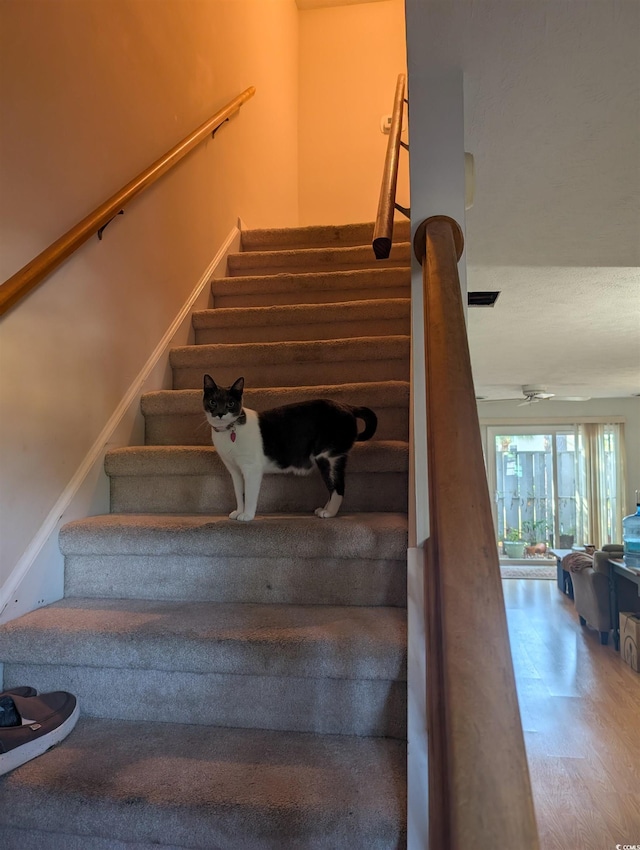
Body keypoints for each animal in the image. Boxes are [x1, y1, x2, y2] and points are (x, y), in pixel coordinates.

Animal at [202, 374, 378, 520]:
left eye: (230, 403)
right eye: (213, 402)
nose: (220, 413)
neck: (229, 431)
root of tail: (348, 406)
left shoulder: (251, 468)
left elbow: (250, 494)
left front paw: (247, 515)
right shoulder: (234, 470)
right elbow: (239, 493)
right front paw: (239, 511)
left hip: (328, 457)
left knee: (338, 487)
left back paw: (329, 512)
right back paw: (324, 509)